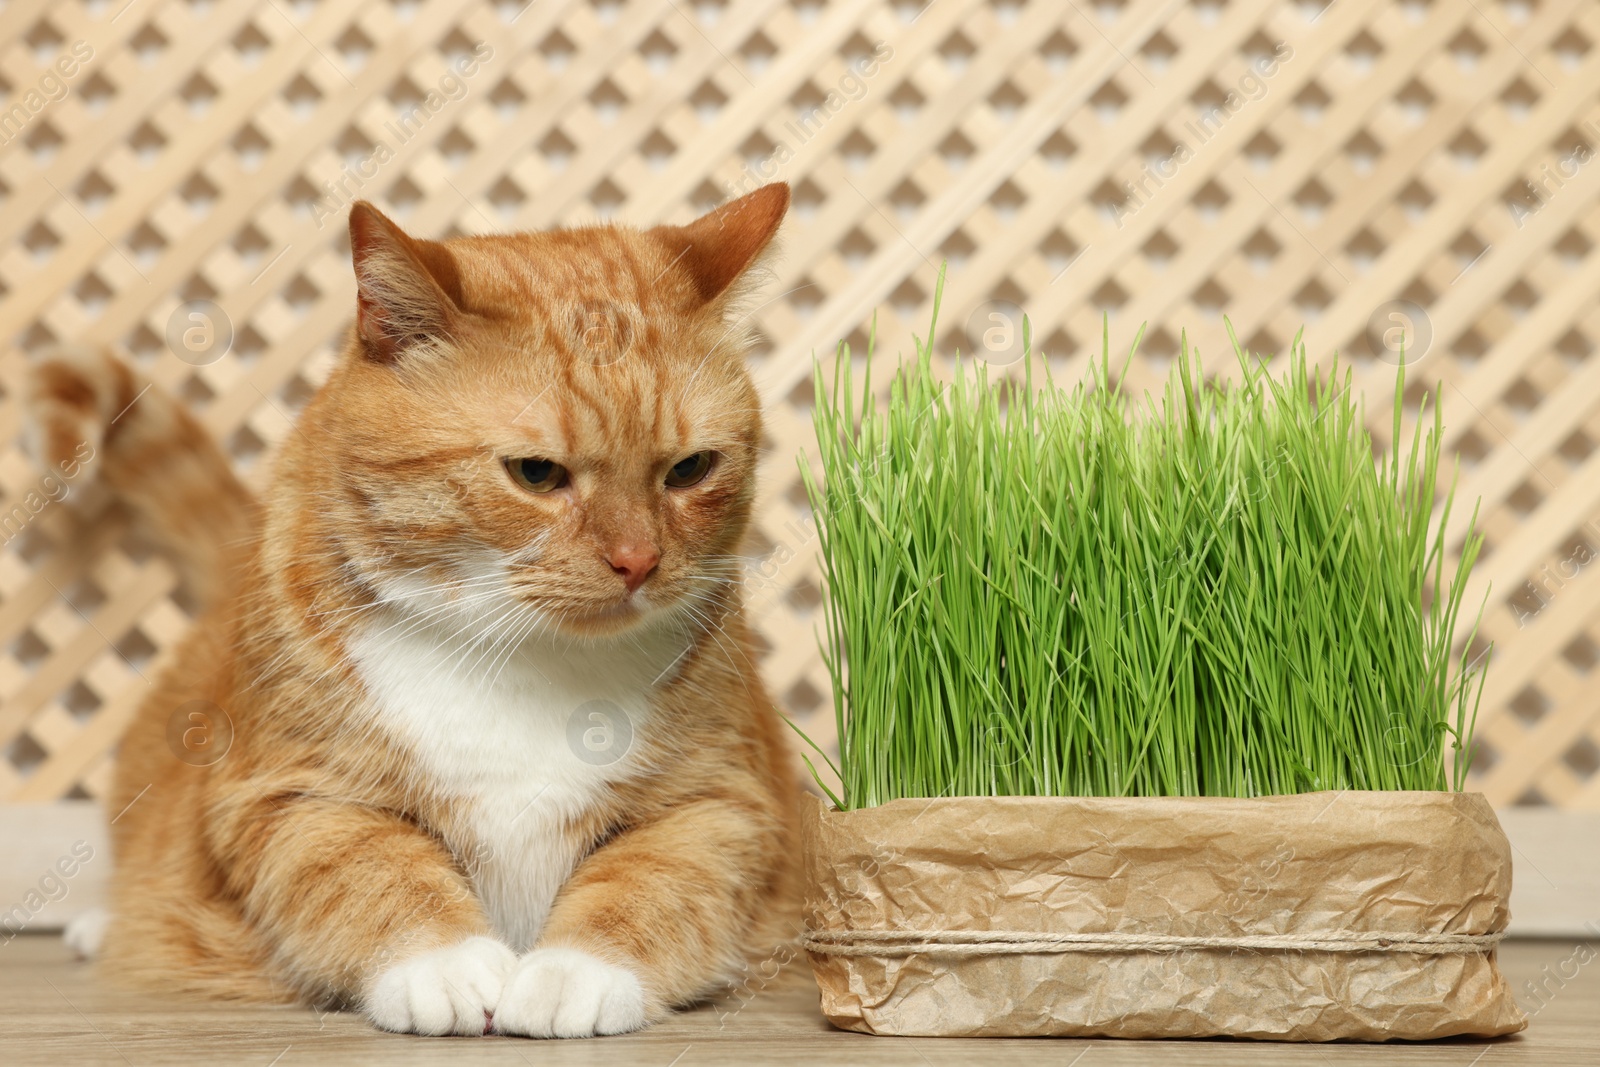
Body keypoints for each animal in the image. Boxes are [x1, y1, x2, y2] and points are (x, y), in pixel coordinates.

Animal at [34, 181, 812, 1036]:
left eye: (690, 469)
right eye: (536, 473)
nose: (638, 560)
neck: (523, 659)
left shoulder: (721, 803)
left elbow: (651, 876)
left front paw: (575, 970)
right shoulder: (290, 795)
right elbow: (372, 867)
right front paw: (444, 962)